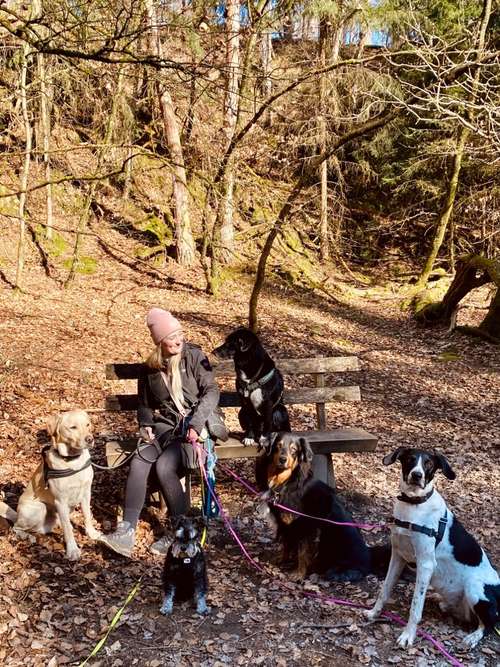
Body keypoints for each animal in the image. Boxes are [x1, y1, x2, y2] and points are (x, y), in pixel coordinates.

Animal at [256, 436, 388, 580]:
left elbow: (303, 551)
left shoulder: (305, 526)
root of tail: (370, 555)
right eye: (278, 446)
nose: (283, 459)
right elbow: (286, 544)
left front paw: (299, 574)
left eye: (294, 450)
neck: (286, 482)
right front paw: (282, 559)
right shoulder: (284, 524)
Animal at [366, 452, 498, 648]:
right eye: (410, 459)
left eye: (428, 463)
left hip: (475, 587)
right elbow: (385, 590)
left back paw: (473, 637)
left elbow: (415, 606)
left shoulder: (426, 564)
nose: (417, 475)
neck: (413, 504)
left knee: (489, 624)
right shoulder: (397, 556)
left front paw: (408, 635)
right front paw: (374, 613)